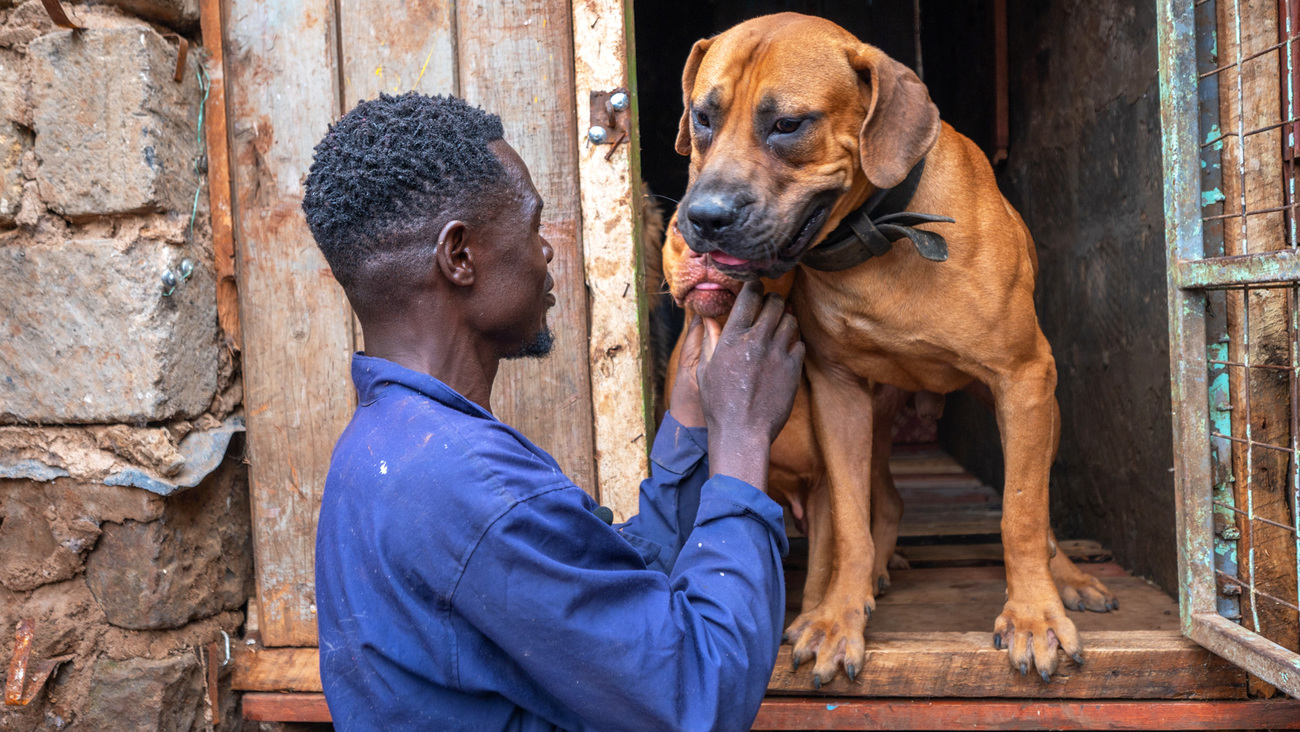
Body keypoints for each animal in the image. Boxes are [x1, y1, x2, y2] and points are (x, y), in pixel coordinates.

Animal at [670, 14, 1118, 686]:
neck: (879, 235)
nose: (703, 217)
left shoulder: (1022, 379)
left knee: (1037, 515)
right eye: (702, 116)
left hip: (1041, 409)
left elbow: (1021, 513)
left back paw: (1065, 579)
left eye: (788, 124)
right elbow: (849, 522)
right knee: (886, 499)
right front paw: (837, 618)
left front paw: (1034, 616)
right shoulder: (838, 394)